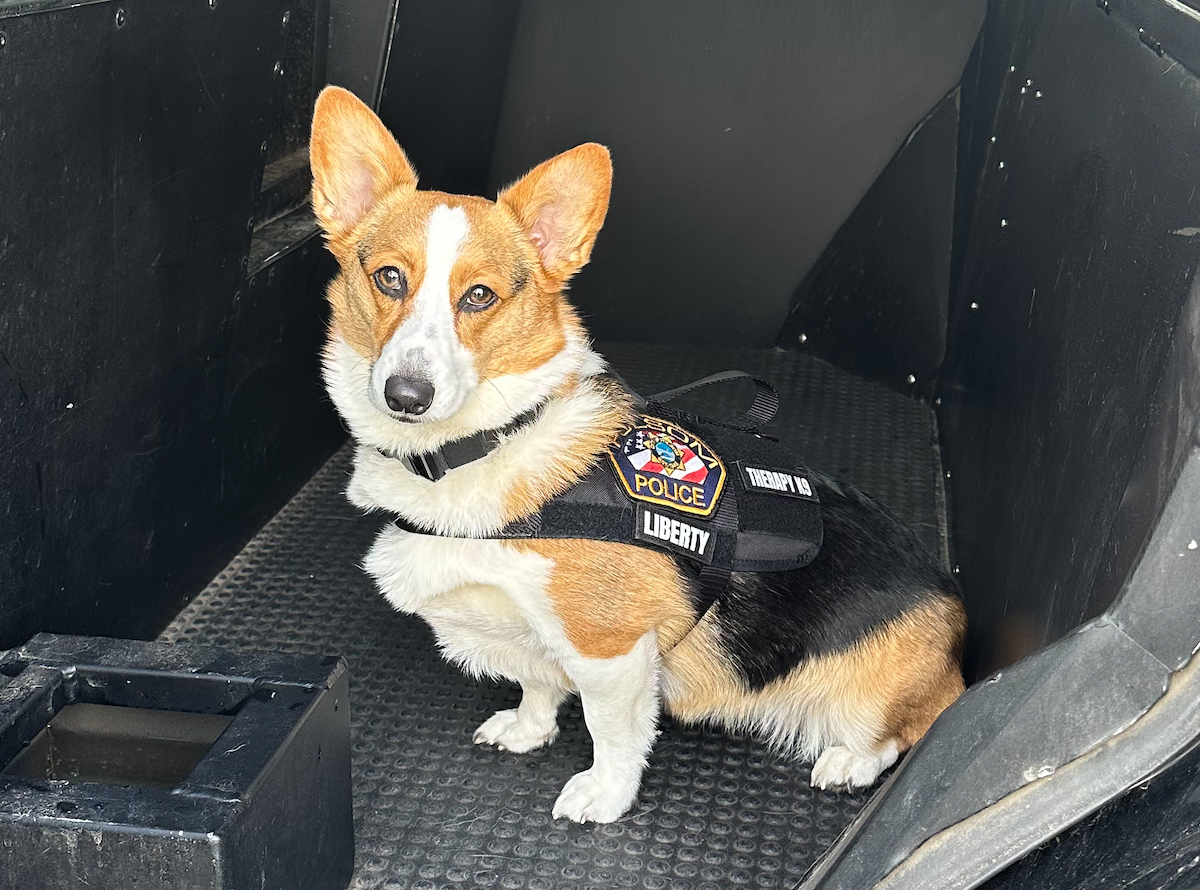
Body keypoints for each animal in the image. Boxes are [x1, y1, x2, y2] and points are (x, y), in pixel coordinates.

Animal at [309, 86, 964, 825]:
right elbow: (538, 687)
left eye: (479, 295)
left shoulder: (611, 650)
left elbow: (612, 732)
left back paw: (851, 760)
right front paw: (527, 729)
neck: (479, 446)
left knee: (908, 731)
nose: (406, 395)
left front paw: (604, 794)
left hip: (878, 696)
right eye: (388, 278)